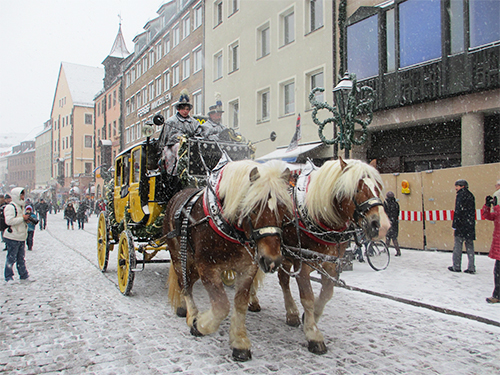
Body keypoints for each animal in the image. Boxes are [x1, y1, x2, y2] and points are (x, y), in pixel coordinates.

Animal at [164, 160, 292, 362]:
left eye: (284, 209)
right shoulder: (207, 267)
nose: (272, 260)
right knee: (184, 283)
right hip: (178, 256)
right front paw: (200, 325)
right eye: (253, 209)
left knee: (188, 281)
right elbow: (221, 306)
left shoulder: (248, 268)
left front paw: (239, 342)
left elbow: (240, 303)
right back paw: (190, 314)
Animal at [252, 158, 388, 356]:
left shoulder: (330, 263)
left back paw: (292, 313)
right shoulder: (302, 262)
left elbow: (327, 293)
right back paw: (254, 301)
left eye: (377, 187)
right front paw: (313, 335)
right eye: (355, 189)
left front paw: (310, 318)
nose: (380, 226)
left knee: (283, 280)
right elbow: (307, 297)